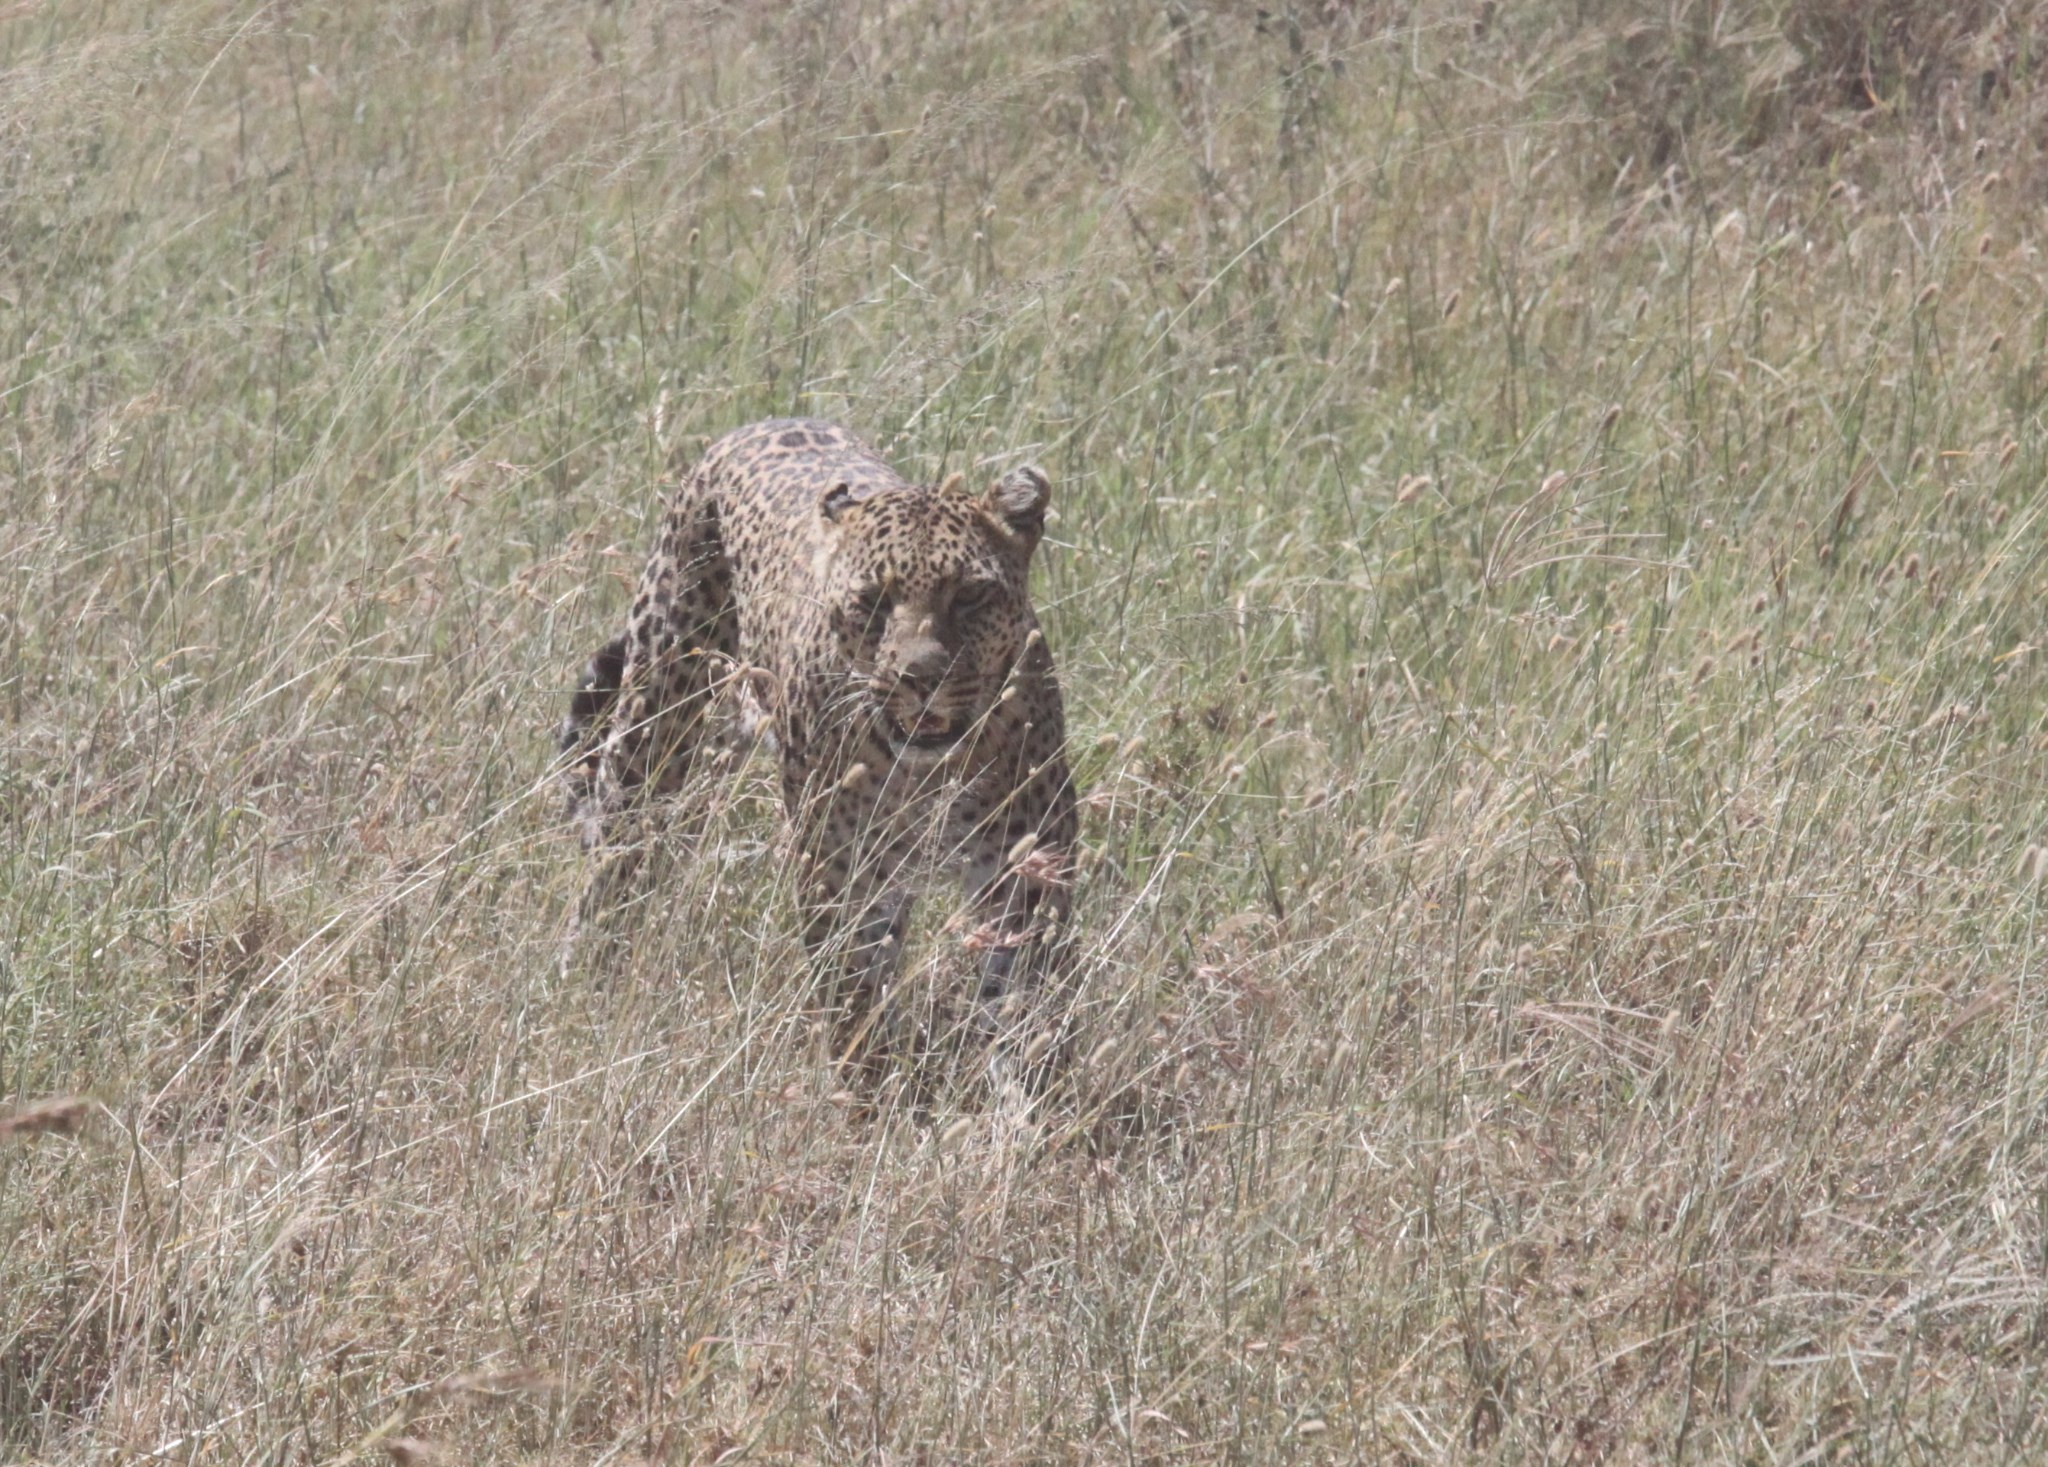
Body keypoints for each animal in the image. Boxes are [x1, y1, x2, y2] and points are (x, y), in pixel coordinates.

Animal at [552, 417, 1081, 1049]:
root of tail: (763, 422)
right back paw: (580, 992)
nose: (920, 676)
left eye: (970, 595)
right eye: (873, 601)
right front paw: (875, 1075)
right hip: (653, 736)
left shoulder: (1028, 877)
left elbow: (1030, 1011)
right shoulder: (844, 880)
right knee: (612, 868)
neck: (932, 772)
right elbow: (858, 1014)